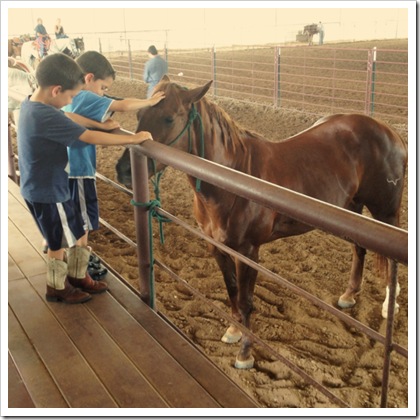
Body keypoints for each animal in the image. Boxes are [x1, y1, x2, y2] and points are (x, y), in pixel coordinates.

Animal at [115, 77, 406, 370]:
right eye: (139, 114)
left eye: (169, 117)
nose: (124, 170)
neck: (232, 178)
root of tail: (389, 131)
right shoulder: (217, 247)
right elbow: (232, 290)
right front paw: (233, 331)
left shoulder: (247, 252)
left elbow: (246, 301)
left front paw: (245, 354)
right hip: (352, 208)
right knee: (359, 249)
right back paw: (349, 295)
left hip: (385, 212)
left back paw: (389, 305)